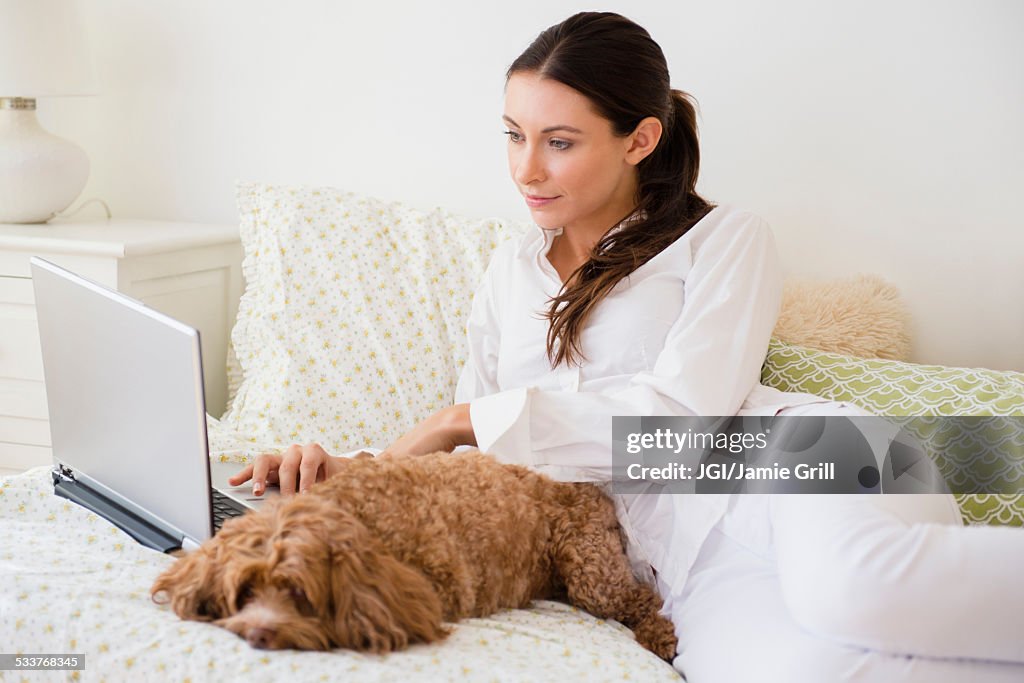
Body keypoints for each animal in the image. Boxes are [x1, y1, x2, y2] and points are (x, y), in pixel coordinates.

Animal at [149, 450, 679, 659]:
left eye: (299, 593)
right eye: (245, 590)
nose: (257, 635)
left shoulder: (434, 590)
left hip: (591, 569)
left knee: (643, 599)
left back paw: (660, 636)